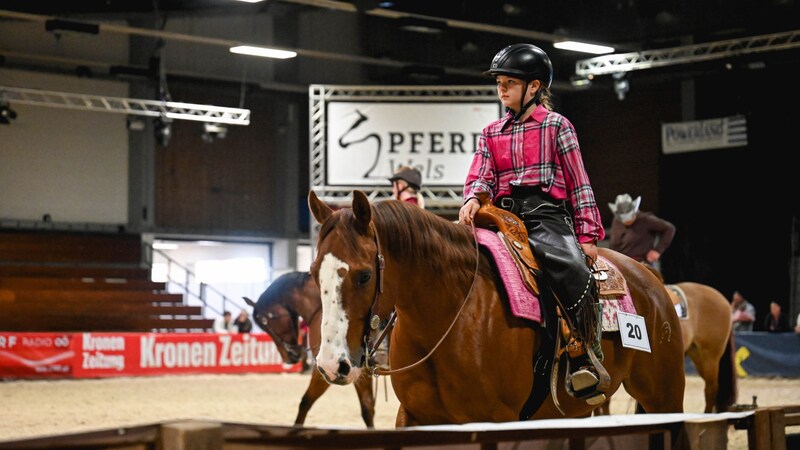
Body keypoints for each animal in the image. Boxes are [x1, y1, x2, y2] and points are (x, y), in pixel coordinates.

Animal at [242, 268, 376, 428]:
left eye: (265, 323)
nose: (289, 357)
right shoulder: (358, 371)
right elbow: (367, 408)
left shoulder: (327, 370)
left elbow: (305, 402)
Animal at [310, 192, 684, 428]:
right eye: (314, 272)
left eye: (364, 275)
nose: (330, 364)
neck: (447, 316)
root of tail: (648, 276)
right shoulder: (414, 417)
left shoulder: (496, 418)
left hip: (665, 396)